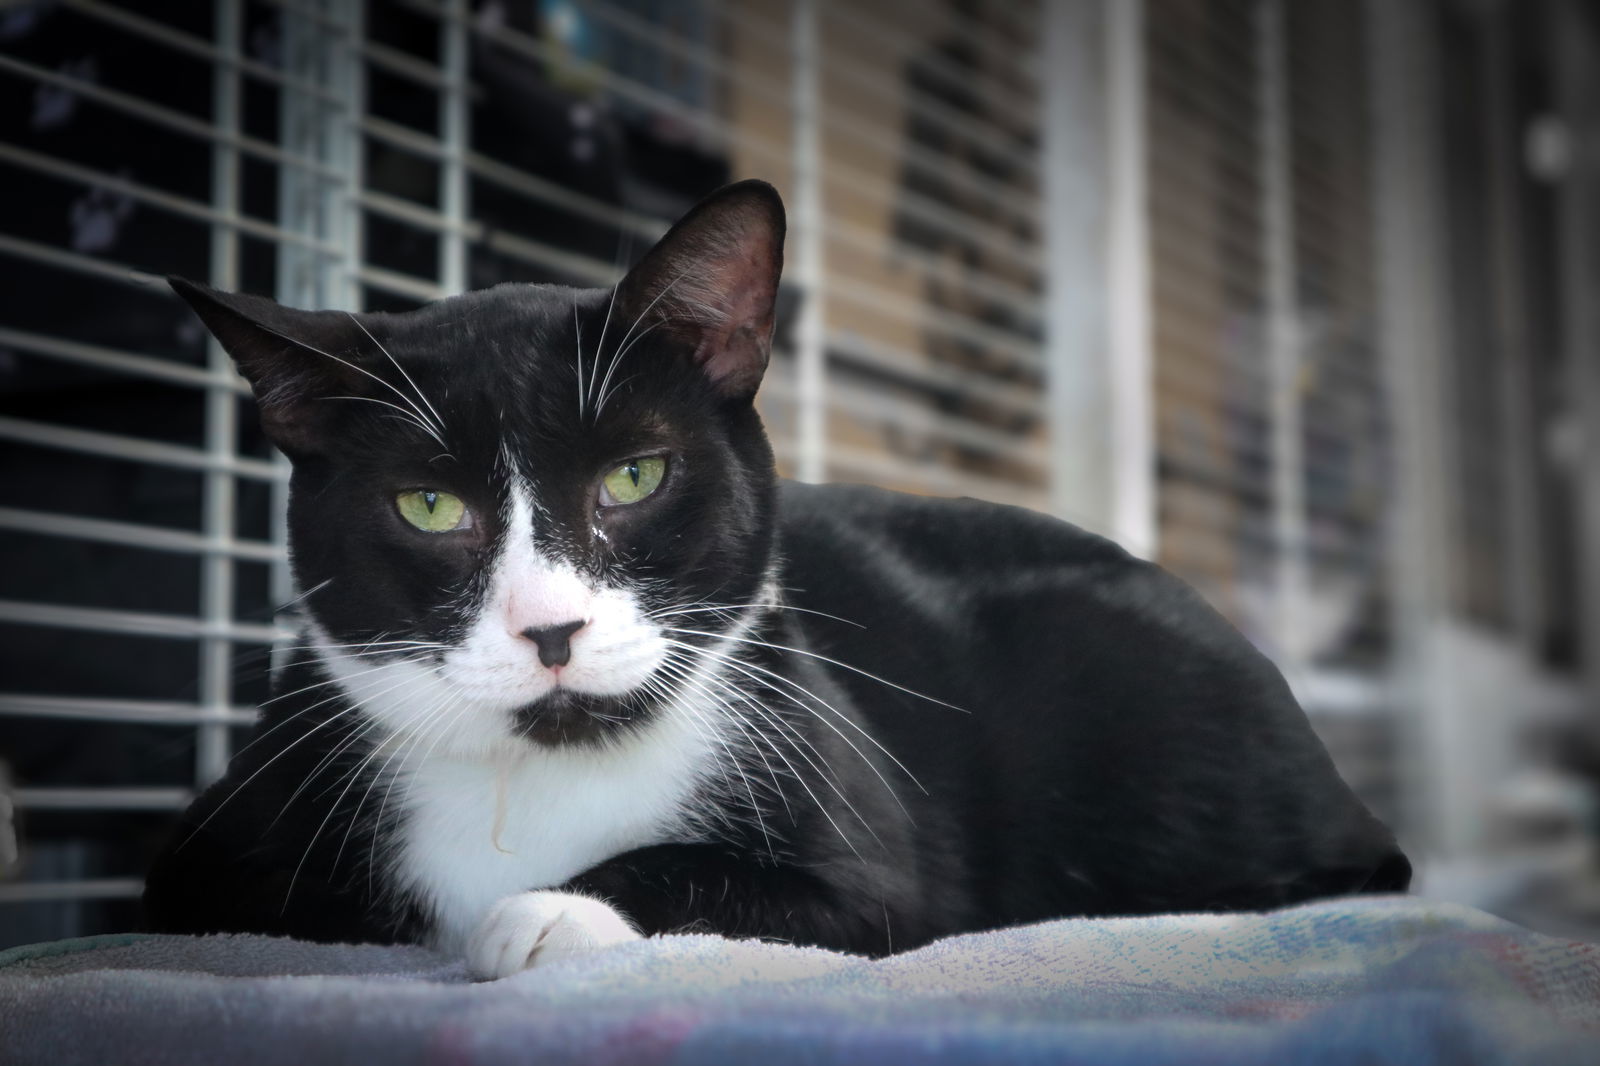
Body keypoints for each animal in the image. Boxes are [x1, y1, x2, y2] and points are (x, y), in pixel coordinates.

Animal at [144, 178, 1408, 973]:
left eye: (636, 475)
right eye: (427, 505)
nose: (550, 629)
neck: (536, 774)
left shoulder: (870, 849)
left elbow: (768, 879)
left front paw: (557, 910)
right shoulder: (209, 852)